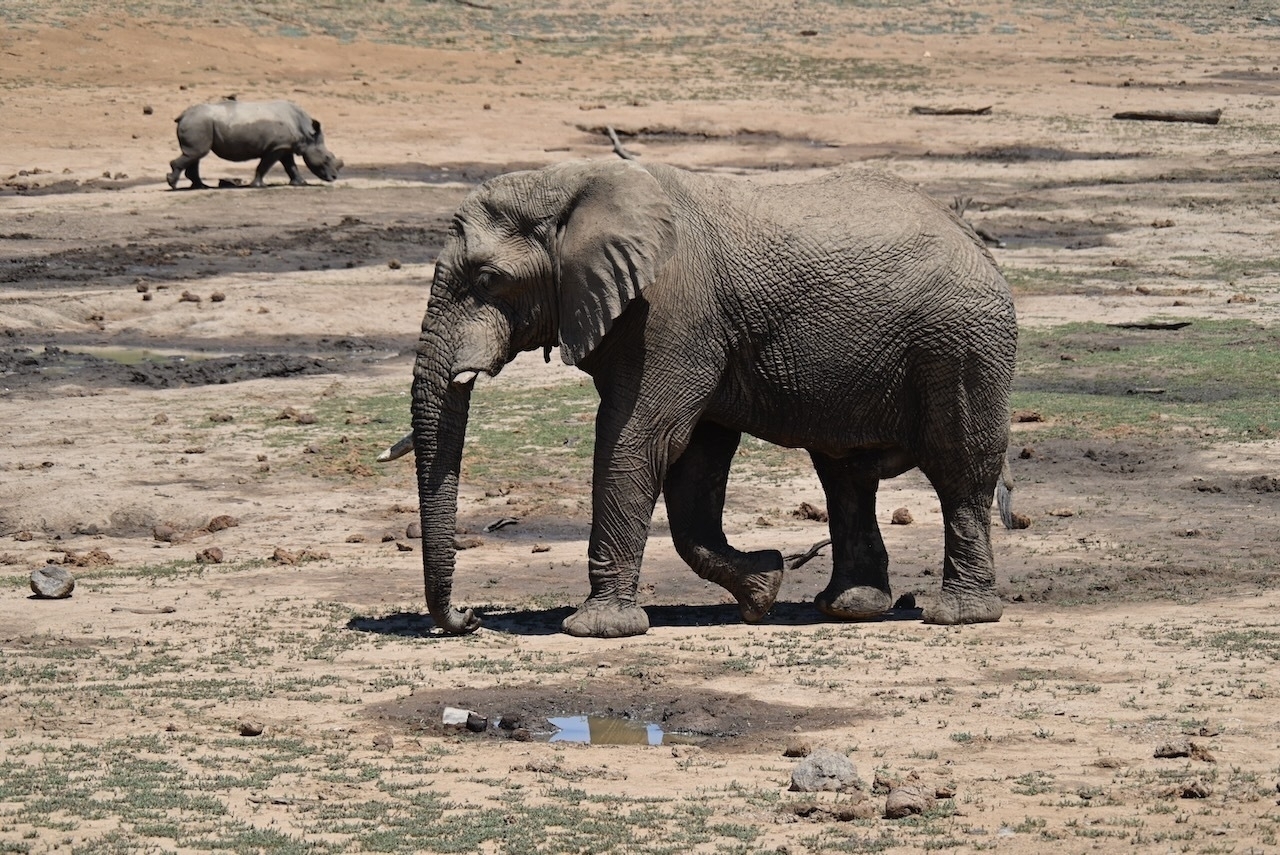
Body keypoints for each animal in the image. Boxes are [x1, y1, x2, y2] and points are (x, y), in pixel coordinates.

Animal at [167, 100, 343, 188]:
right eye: (327, 157)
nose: (334, 177)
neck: (307, 134)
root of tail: (183, 115)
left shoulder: (284, 146)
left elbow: (291, 166)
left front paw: (300, 183)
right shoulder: (276, 147)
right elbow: (264, 166)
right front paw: (258, 186)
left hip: (199, 122)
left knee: (196, 154)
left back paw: (200, 187)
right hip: (198, 122)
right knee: (197, 153)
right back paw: (173, 184)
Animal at [394, 158, 1013, 639]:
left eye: (488, 280)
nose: (470, 618)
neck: (569, 182)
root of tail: (971, 235)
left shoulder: (671, 312)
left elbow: (638, 439)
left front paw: (595, 629)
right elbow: (694, 466)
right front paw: (763, 588)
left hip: (960, 343)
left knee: (959, 469)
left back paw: (959, 616)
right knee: (845, 475)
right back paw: (850, 609)